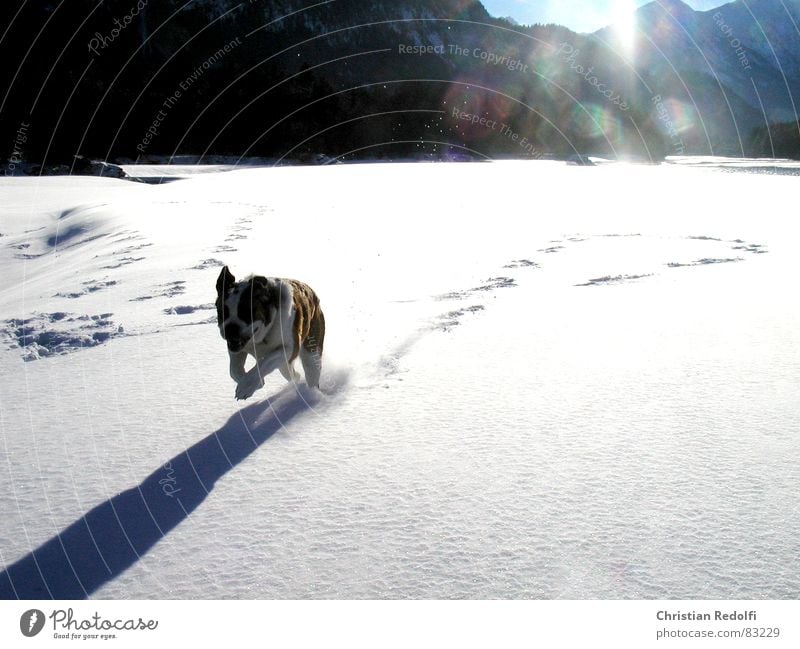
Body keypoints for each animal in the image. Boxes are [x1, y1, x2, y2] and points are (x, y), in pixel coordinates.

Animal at [216, 264, 324, 398]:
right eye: (222, 312)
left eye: (246, 313)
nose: (230, 328)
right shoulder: (236, 348)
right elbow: (234, 370)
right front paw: (258, 383)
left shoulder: (289, 348)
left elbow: (265, 362)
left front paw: (246, 386)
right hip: (285, 366)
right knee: (293, 375)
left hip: (311, 352)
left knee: (311, 372)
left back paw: (311, 396)